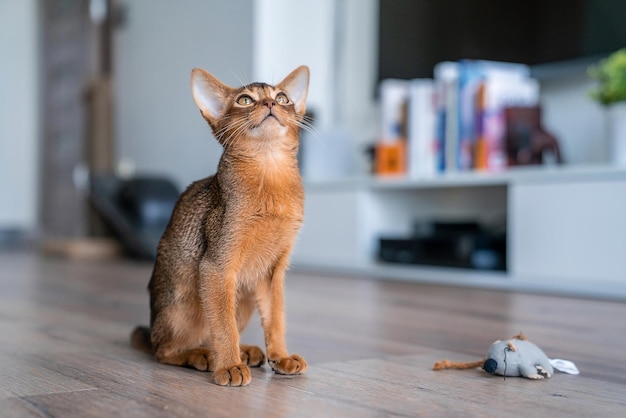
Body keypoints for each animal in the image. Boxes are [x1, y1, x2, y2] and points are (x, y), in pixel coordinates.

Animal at [130, 63, 310, 386]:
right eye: (245, 100)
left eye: (283, 97)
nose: (270, 103)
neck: (270, 176)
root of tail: (152, 333)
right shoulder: (216, 267)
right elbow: (224, 326)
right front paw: (228, 366)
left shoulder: (272, 272)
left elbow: (276, 318)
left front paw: (281, 356)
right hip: (186, 304)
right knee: (165, 351)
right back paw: (205, 355)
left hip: (245, 296)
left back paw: (245, 351)